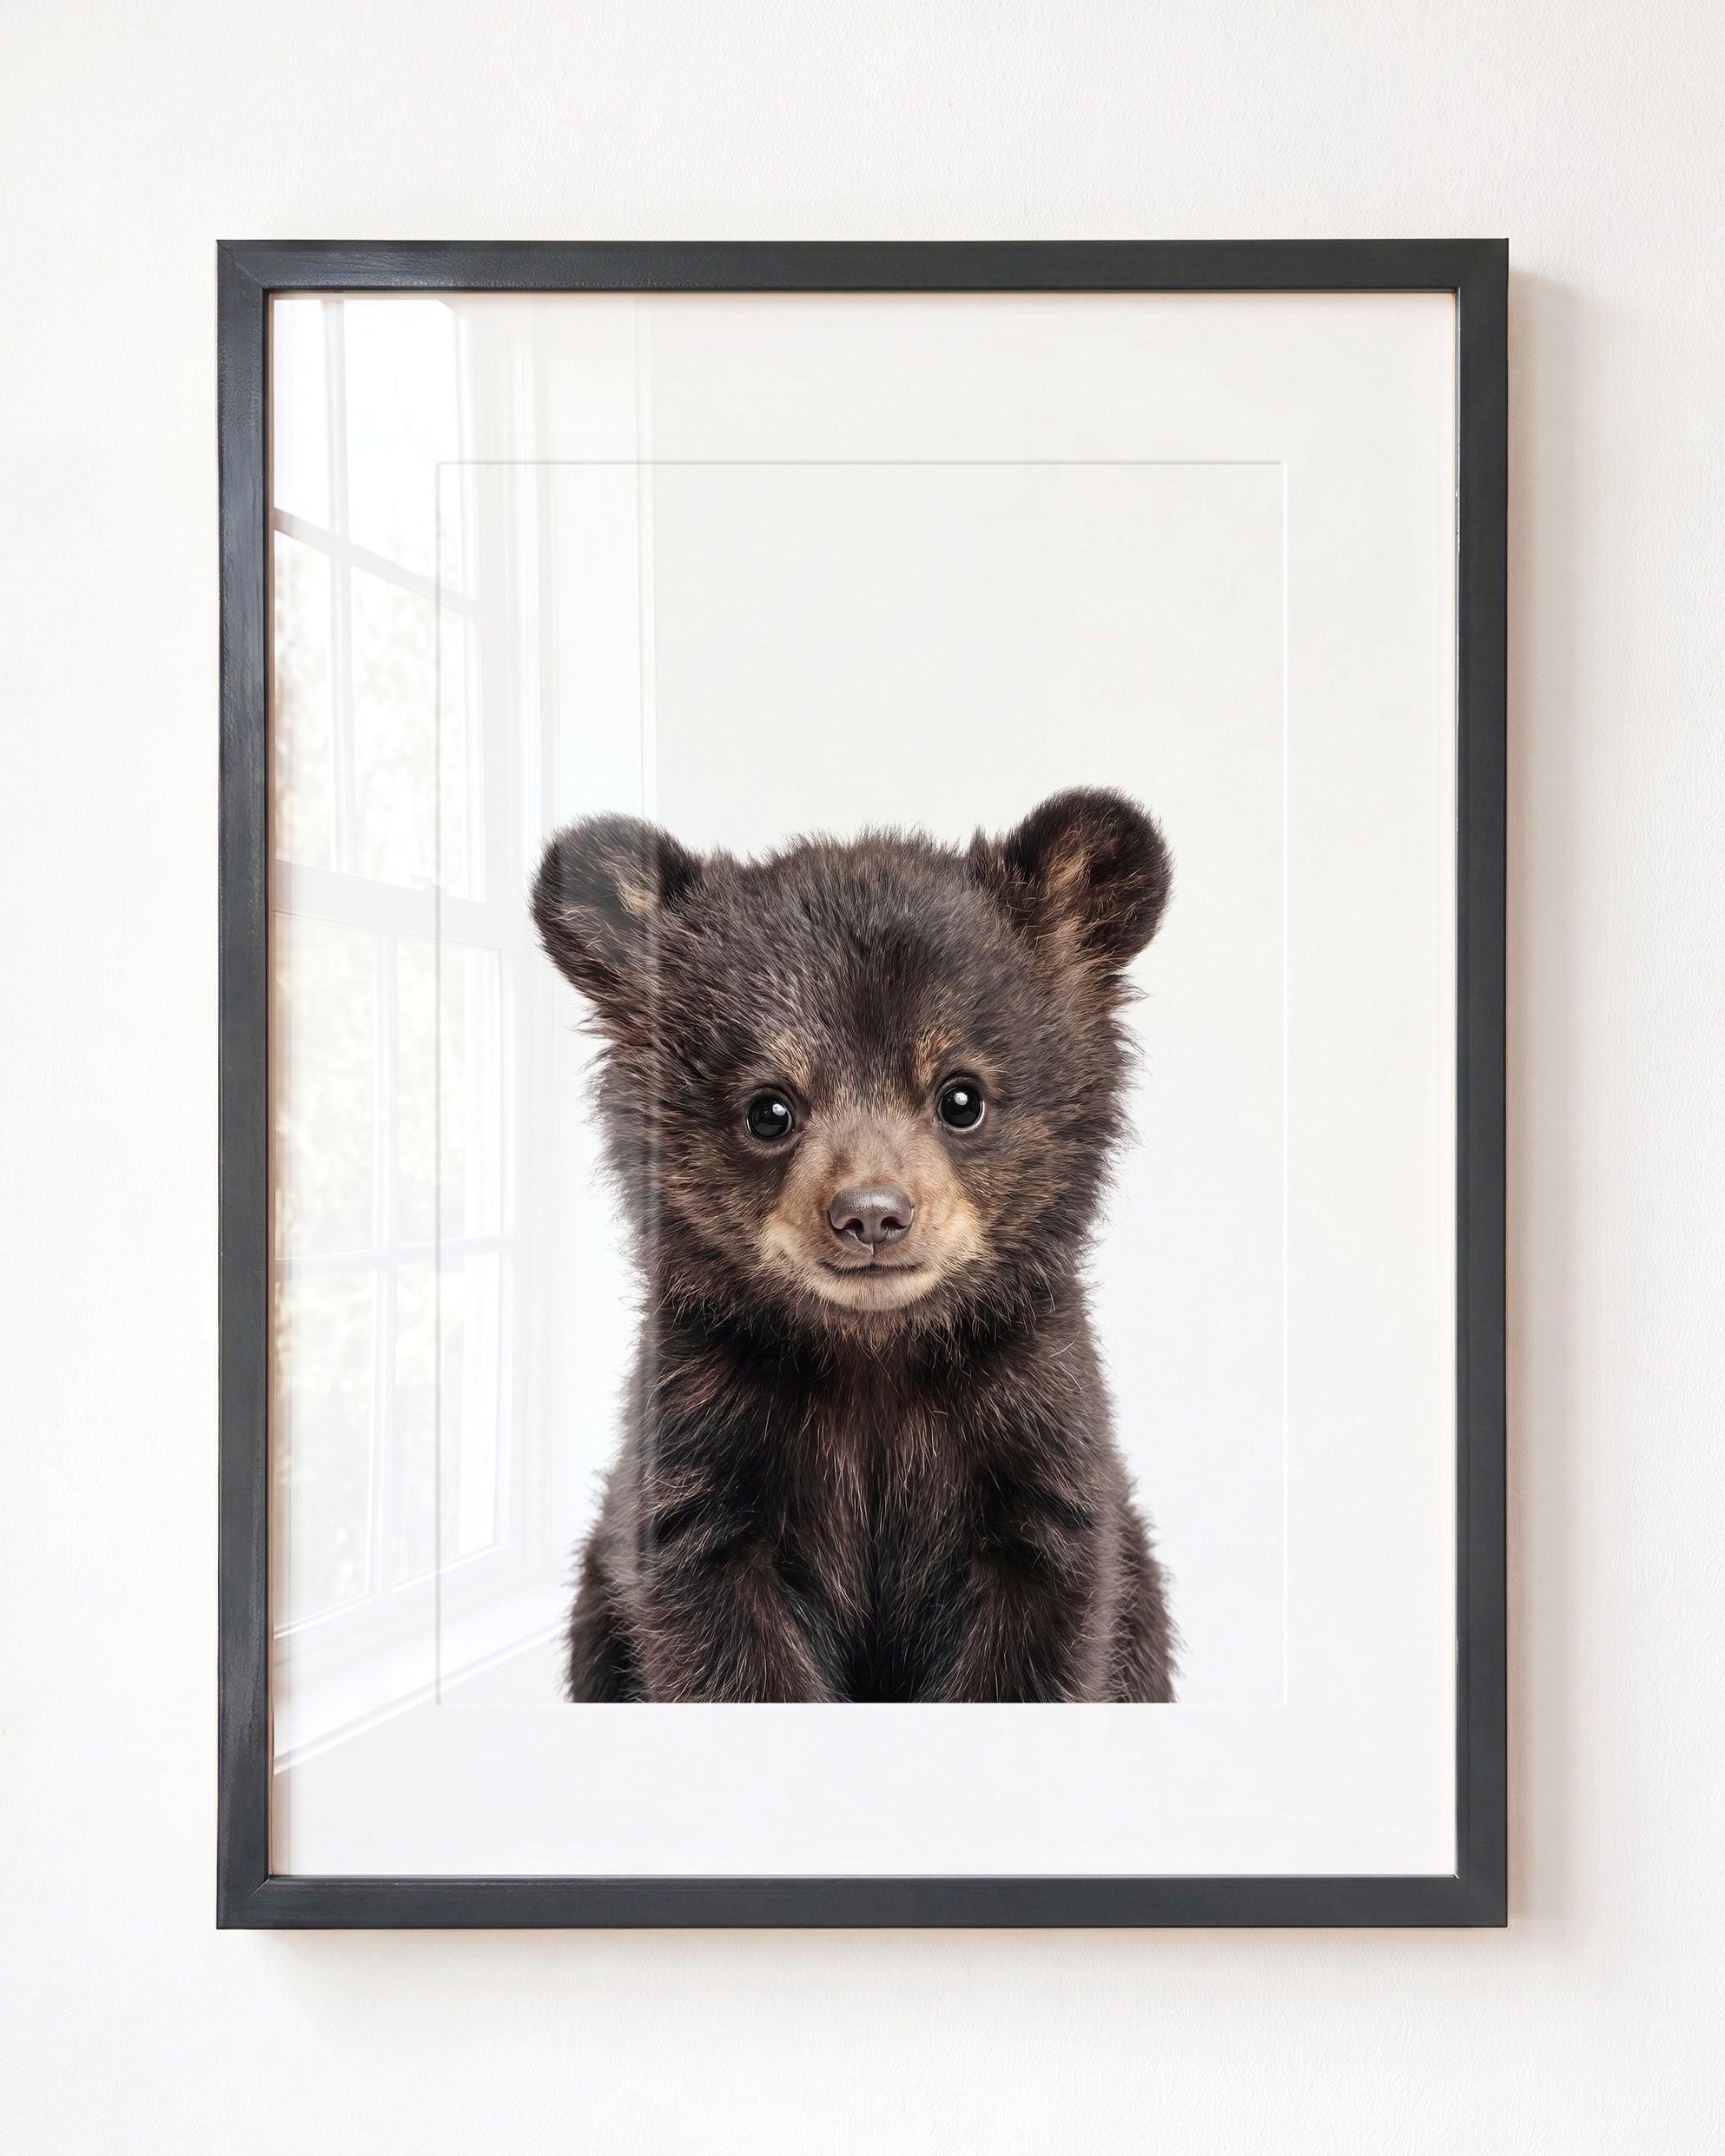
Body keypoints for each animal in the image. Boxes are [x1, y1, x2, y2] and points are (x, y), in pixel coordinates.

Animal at [530, 787, 1178, 1703]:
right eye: (769, 1109)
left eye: (961, 1097)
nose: (871, 1214)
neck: (873, 1358)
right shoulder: (701, 1449)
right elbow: (721, 1641)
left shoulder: (1035, 1441)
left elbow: (1038, 1636)